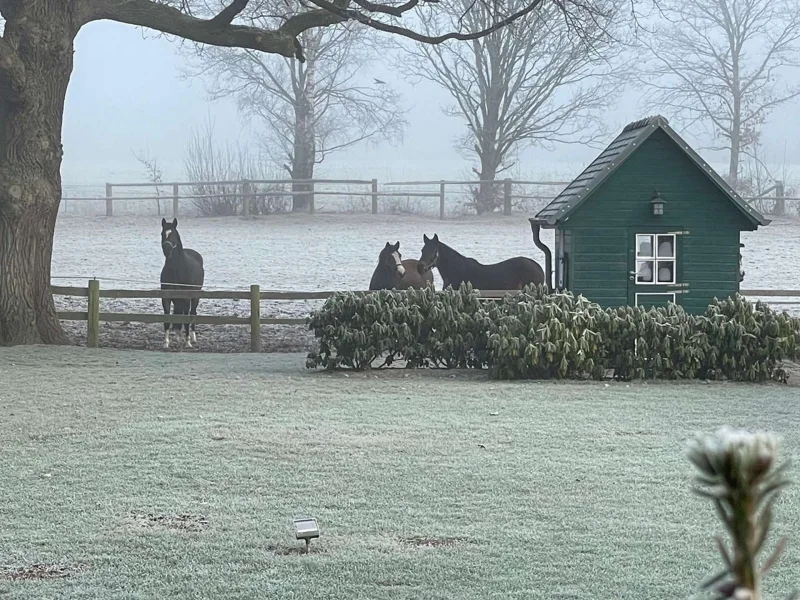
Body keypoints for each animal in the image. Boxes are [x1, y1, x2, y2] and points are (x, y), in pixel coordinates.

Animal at [160, 218, 205, 350]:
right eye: (162, 234)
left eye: (174, 234)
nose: (167, 250)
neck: (177, 269)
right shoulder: (166, 297)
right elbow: (167, 319)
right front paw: (166, 343)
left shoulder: (186, 297)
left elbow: (186, 319)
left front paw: (188, 342)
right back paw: (178, 336)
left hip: (195, 297)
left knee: (192, 313)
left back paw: (193, 338)